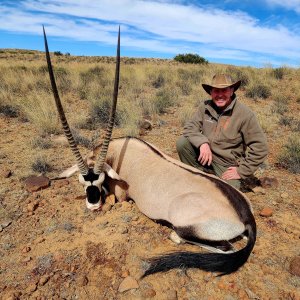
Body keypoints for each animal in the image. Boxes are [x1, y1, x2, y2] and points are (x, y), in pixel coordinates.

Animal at [43, 27, 256, 276]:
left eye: (102, 179)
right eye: (81, 181)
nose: (93, 205)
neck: (118, 153)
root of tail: (245, 214)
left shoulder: (121, 195)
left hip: (186, 226)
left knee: (208, 243)